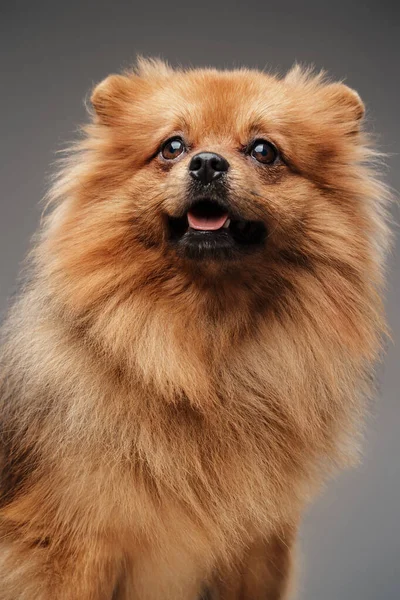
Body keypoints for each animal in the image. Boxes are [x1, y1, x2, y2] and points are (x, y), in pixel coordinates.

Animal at [0, 57, 390, 600]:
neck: (203, 353)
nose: (207, 163)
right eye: (173, 146)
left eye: (264, 150)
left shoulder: (258, 550)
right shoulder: (72, 545)